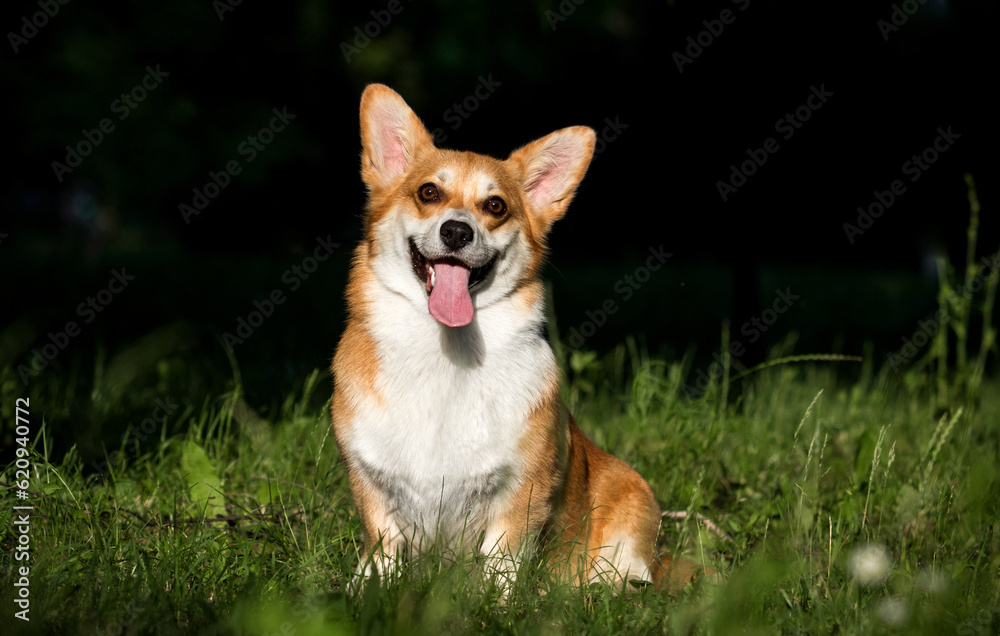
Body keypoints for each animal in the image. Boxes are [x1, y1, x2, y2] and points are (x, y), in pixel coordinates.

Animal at [332, 83, 692, 592]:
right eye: (428, 192)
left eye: (495, 206)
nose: (457, 231)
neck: (445, 353)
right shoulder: (373, 488)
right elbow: (383, 553)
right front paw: (367, 592)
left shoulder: (520, 494)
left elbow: (498, 567)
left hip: (630, 507)